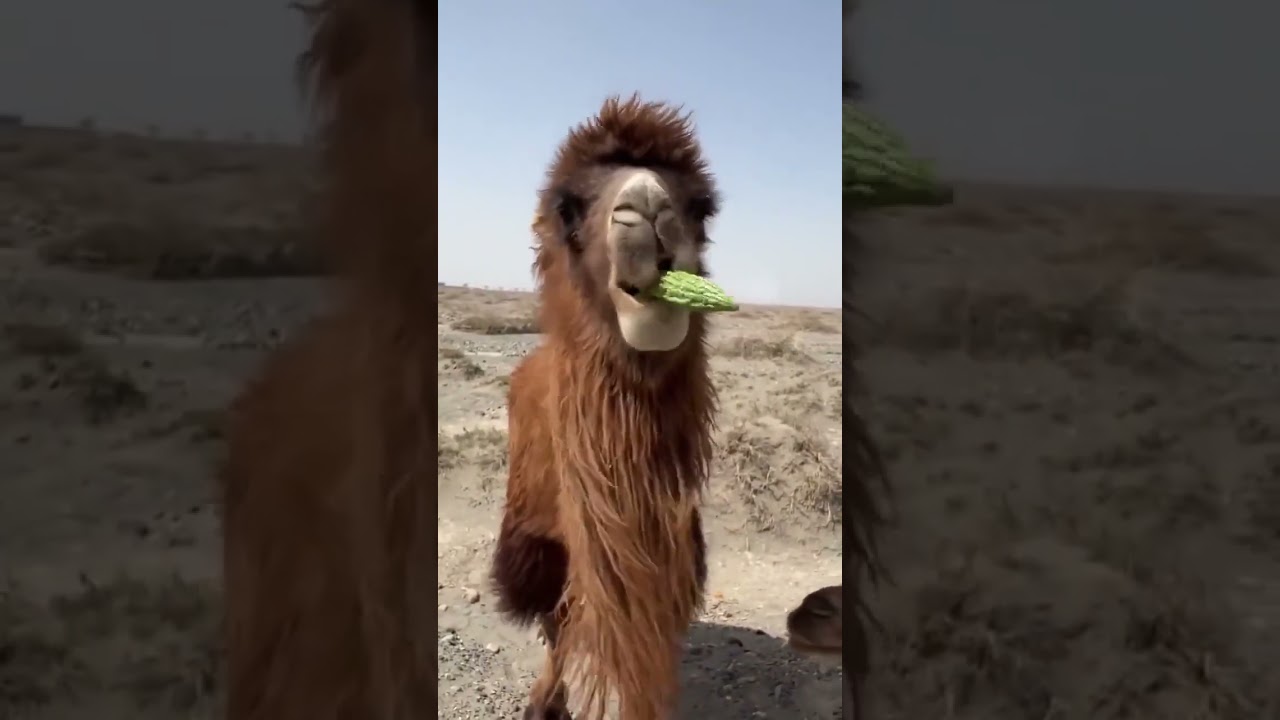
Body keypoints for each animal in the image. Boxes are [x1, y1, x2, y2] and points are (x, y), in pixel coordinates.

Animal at [490, 95, 721, 720]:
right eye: (568, 208)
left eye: (701, 209)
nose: (648, 210)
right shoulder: (544, 549)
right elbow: (560, 622)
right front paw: (546, 704)